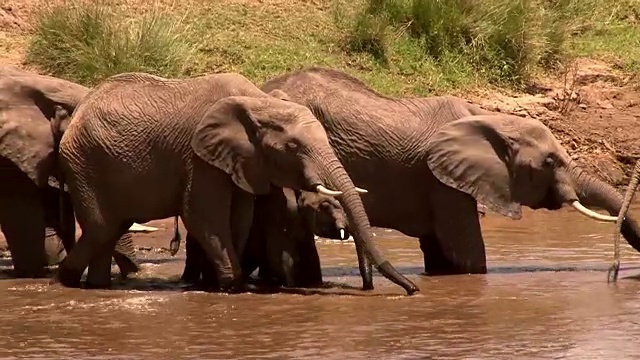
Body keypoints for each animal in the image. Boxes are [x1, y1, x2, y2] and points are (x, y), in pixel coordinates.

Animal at [262, 67, 640, 286]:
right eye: (550, 162)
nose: (614, 273)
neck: (489, 117)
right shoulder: (439, 179)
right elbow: (466, 254)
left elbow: (441, 255)